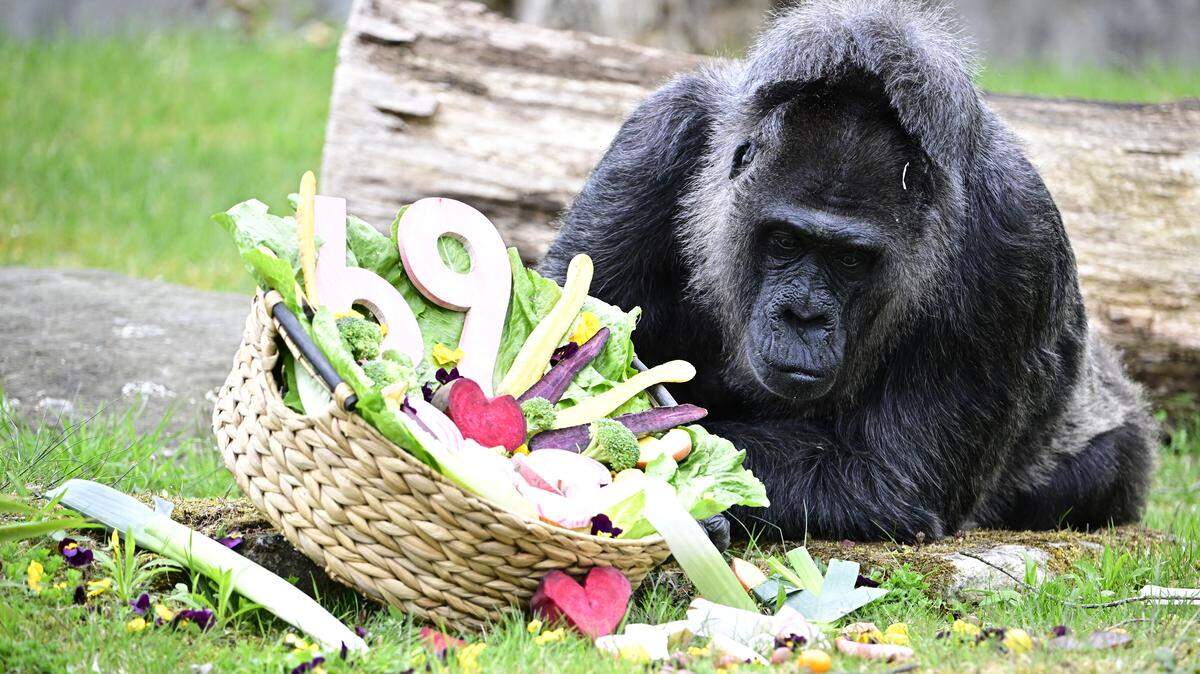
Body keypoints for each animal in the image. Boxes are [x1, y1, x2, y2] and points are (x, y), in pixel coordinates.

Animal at [539, 0, 1156, 542]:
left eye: (851, 260)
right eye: (785, 242)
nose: (803, 316)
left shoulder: (1015, 240)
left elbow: (885, 478)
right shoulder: (655, 141)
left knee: (1103, 468)